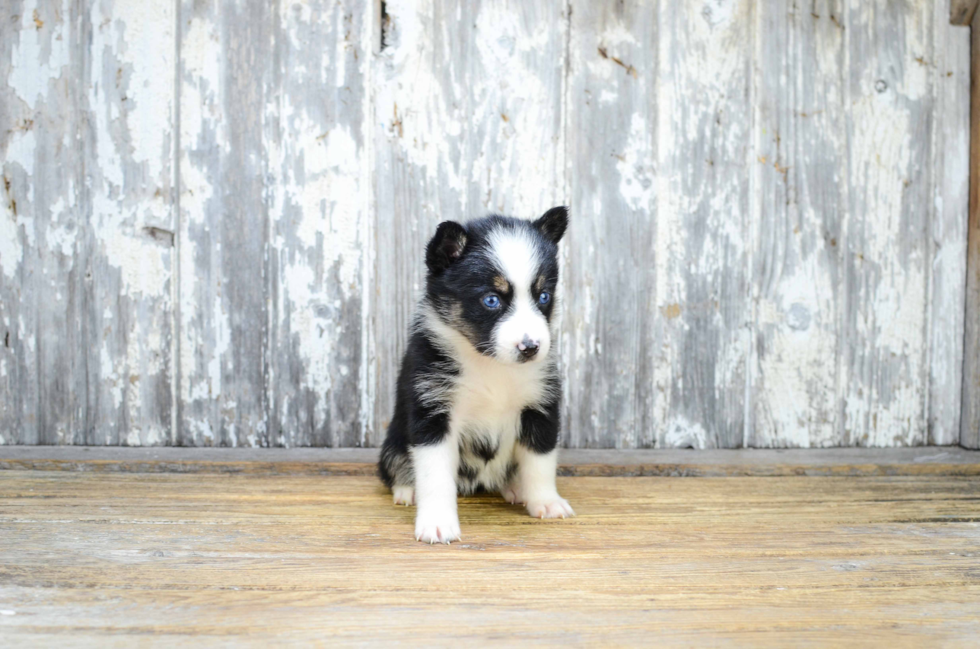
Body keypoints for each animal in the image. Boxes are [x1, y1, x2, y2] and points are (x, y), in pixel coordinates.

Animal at [378, 206, 576, 540]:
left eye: (544, 296)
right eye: (491, 300)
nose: (531, 347)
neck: (490, 363)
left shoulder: (540, 408)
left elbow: (540, 462)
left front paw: (546, 502)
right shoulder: (434, 414)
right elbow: (435, 476)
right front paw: (437, 522)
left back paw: (516, 488)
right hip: (392, 444)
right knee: (397, 467)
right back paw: (408, 489)